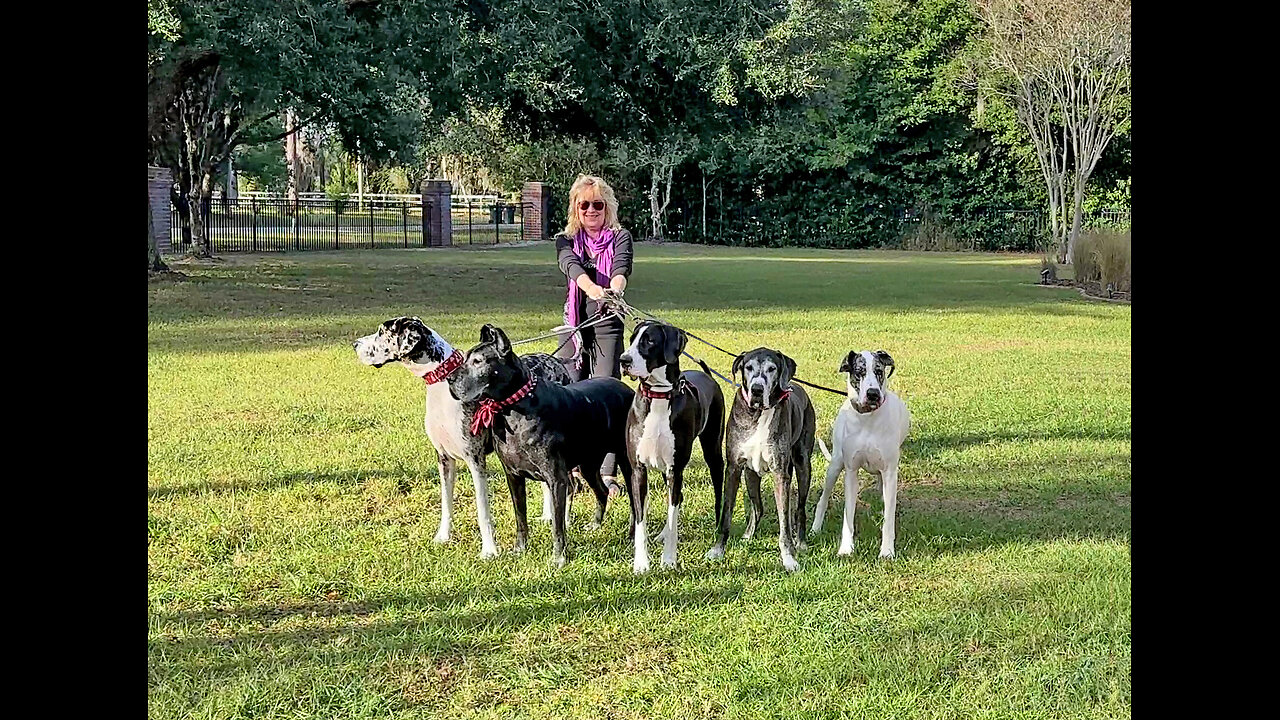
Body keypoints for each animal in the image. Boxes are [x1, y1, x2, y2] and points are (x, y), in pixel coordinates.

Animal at [350, 316, 570, 558]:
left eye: (382, 332)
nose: (355, 344)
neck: (441, 387)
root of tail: (557, 361)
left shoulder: (475, 460)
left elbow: (483, 511)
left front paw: (489, 551)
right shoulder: (444, 458)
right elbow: (446, 502)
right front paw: (443, 537)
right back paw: (548, 516)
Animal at [448, 324, 637, 566]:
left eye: (478, 361)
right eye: (466, 358)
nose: (450, 379)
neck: (514, 408)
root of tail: (628, 389)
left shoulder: (556, 478)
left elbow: (558, 524)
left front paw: (559, 558)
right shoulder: (513, 476)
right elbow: (520, 517)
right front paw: (520, 549)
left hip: (627, 463)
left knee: (635, 503)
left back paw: (633, 535)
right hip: (588, 464)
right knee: (602, 491)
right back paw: (595, 525)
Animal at [616, 319, 727, 571]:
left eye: (649, 341)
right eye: (631, 340)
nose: (623, 360)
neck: (658, 395)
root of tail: (707, 376)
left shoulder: (675, 470)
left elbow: (672, 515)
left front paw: (668, 560)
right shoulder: (638, 469)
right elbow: (641, 519)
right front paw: (641, 564)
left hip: (713, 451)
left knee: (718, 491)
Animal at [706, 345, 814, 568]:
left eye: (772, 368)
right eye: (748, 367)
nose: (756, 389)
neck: (758, 414)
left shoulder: (780, 473)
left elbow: (784, 520)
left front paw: (789, 557)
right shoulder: (733, 469)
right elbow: (726, 513)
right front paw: (718, 549)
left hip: (802, 465)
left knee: (799, 508)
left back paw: (800, 542)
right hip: (751, 475)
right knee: (758, 508)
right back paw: (748, 535)